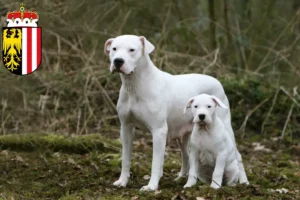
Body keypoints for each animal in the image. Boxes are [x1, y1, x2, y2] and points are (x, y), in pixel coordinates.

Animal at [103, 34, 248, 191]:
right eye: (114, 49)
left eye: (132, 50)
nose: (118, 61)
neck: (134, 84)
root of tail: (217, 80)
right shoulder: (126, 127)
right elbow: (125, 157)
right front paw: (122, 181)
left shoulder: (158, 130)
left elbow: (156, 161)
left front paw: (151, 186)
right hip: (184, 134)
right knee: (186, 155)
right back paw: (182, 177)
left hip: (226, 127)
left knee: (237, 156)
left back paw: (243, 181)